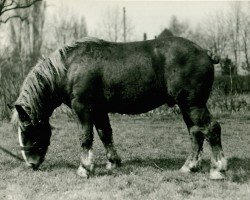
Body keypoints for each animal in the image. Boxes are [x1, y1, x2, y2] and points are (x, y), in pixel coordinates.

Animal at [11, 36, 227, 180]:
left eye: (27, 129)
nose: (30, 163)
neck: (70, 67)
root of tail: (205, 52)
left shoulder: (83, 108)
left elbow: (85, 137)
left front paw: (84, 168)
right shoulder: (99, 110)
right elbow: (105, 134)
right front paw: (113, 162)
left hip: (193, 105)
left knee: (211, 129)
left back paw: (218, 169)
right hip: (186, 107)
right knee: (196, 133)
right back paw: (189, 167)